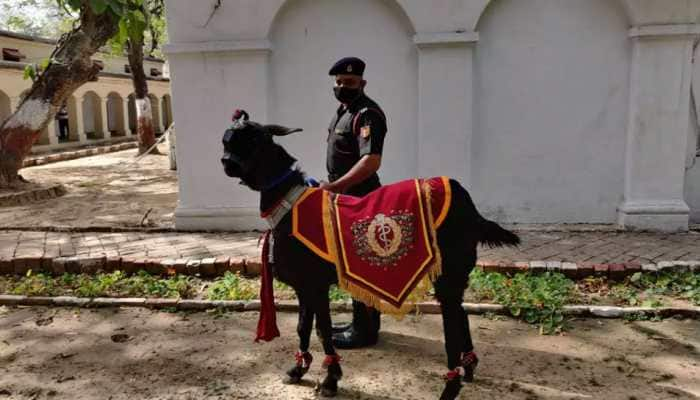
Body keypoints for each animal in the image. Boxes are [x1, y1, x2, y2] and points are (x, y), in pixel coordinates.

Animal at [220, 114, 520, 398]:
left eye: (255, 138)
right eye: (226, 140)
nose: (226, 162)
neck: (289, 204)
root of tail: (467, 204)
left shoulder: (315, 285)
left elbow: (323, 330)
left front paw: (331, 379)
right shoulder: (303, 285)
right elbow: (303, 328)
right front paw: (298, 368)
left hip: (449, 273)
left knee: (452, 329)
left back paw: (450, 386)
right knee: (461, 316)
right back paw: (468, 367)